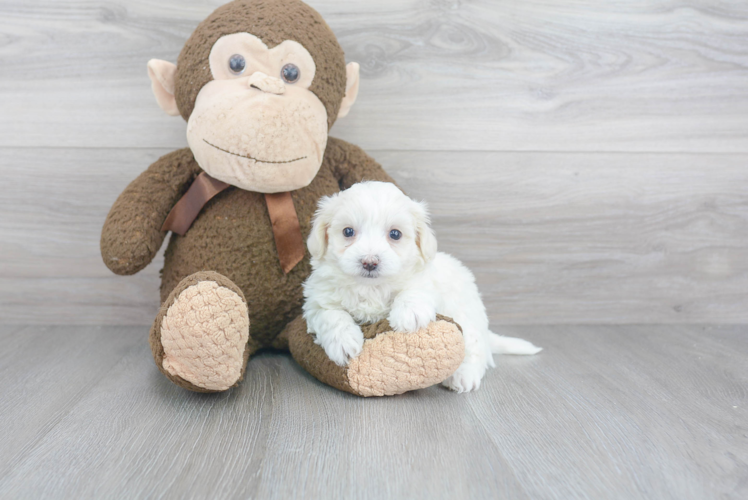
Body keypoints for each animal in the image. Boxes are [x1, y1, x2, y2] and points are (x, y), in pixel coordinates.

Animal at [304, 182, 544, 392]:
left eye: (395, 234)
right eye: (348, 232)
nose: (369, 262)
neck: (371, 287)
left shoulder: (426, 279)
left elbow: (415, 289)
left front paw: (409, 314)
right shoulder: (317, 301)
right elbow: (331, 315)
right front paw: (343, 342)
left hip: (468, 316)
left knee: (474, 349)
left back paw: (463, 375)